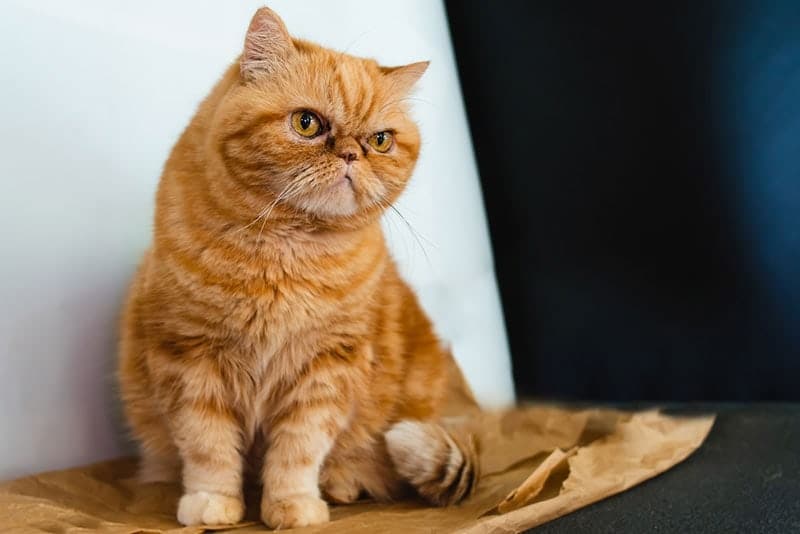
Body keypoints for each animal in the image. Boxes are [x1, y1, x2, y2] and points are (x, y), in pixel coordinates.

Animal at [118, 5, 478, 532]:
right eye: (307, 124)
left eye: (380, 140)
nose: (351, 153)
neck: (287, 253)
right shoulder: (190, 356)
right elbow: (207, 446)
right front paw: (213, 502)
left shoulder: (327, 367)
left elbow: (298, 449)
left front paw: (293, 506)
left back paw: (344, 482)